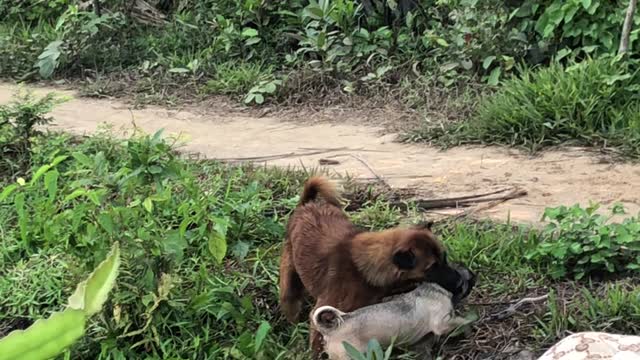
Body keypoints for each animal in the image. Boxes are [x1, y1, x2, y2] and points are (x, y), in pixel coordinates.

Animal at [278, 175, 448, 358]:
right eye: (432, 267)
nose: (462, 279)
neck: (362, 269)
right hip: (289, 283)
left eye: (445, 257)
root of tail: (306, 204)